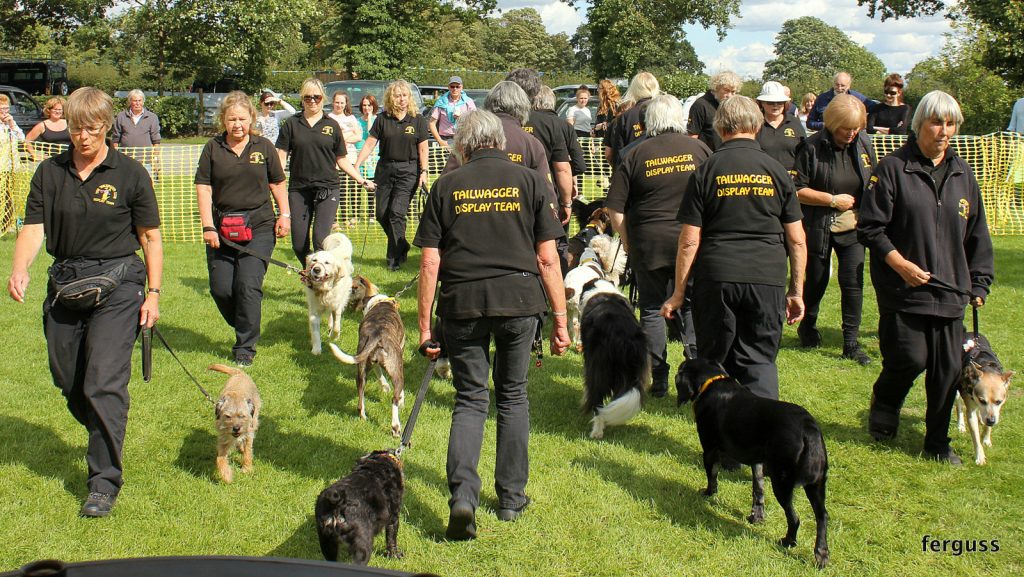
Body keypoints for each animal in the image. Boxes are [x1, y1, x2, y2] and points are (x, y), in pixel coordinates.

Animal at [329, 276, 405, 436]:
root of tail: (377, 335)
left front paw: (384, 386)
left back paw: (363, 416)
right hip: (397, 371)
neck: (379, 303)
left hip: (361, 370)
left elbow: (379, 373)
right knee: (395, 398)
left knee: (360, 399)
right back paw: (396, 427)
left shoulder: (373, 363)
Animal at [675, 358, 827, 569]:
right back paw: (821, 555)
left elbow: (712, 473)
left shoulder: (710, 448)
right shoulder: (757, 461)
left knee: (794, 517)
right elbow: (758, 487)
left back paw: (788, 541)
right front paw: (757, 515)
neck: (712, 381)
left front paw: (708, 492)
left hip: (782, 482)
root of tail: (808, 429)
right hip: (817, 485)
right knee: (822, 517)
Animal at [954, 334, 1011, 465]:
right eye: (982, 400)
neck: (986, 367)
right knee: (958, 404)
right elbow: (975, 435)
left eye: (999, 402)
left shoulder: (994, 411)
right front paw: (980, 457)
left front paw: (986, 439)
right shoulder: (971, 409)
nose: (991, 420)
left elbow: (988, 423)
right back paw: (961, 425)